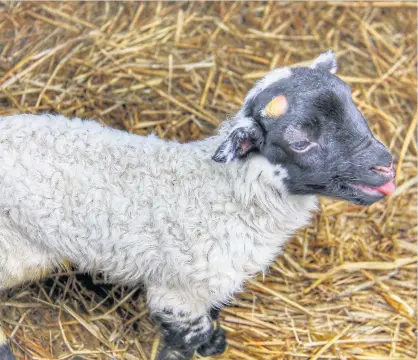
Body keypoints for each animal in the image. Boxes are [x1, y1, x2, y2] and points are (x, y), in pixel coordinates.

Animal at [0, 51, 396, 360]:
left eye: (353, 107)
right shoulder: (177, 293)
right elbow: (191, 333)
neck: (222, 195)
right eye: (300, 141)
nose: (386, 166)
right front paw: (206, 346)